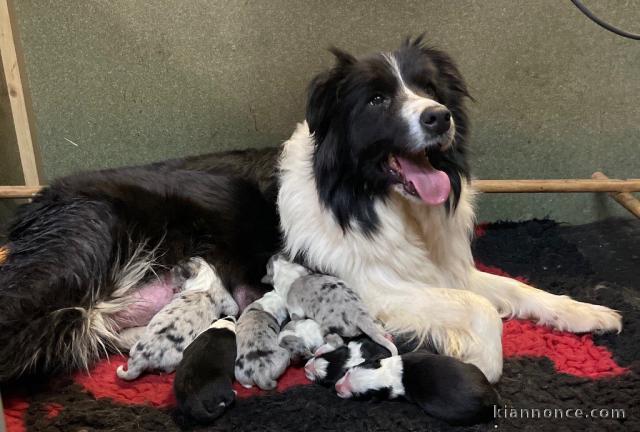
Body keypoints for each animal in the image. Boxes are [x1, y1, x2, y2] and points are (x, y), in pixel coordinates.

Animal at [264, 255, 396, 356]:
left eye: (267, 266)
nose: (274, 255)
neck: (291, 276)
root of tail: (359, 316)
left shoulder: (295, 309)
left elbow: (295, 316)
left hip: (326, 328)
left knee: (337, 342)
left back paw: (321, 350)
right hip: (370, 316)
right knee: (378, 327)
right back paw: (385, 334)